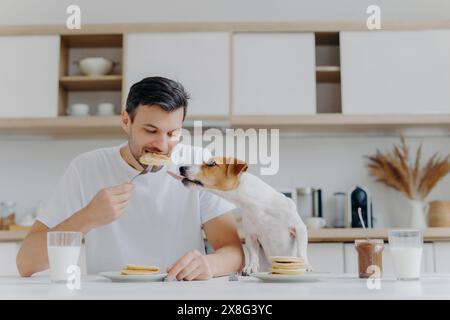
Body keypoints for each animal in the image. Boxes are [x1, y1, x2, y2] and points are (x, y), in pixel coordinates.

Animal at [174, 156, 312, 274]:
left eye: (212, 164)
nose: (181, 167)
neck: (257, 205)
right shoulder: (251, 236)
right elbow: (253, 253)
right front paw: (251, 267)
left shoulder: (299, 228)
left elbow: (302, 250)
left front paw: (306, 265)